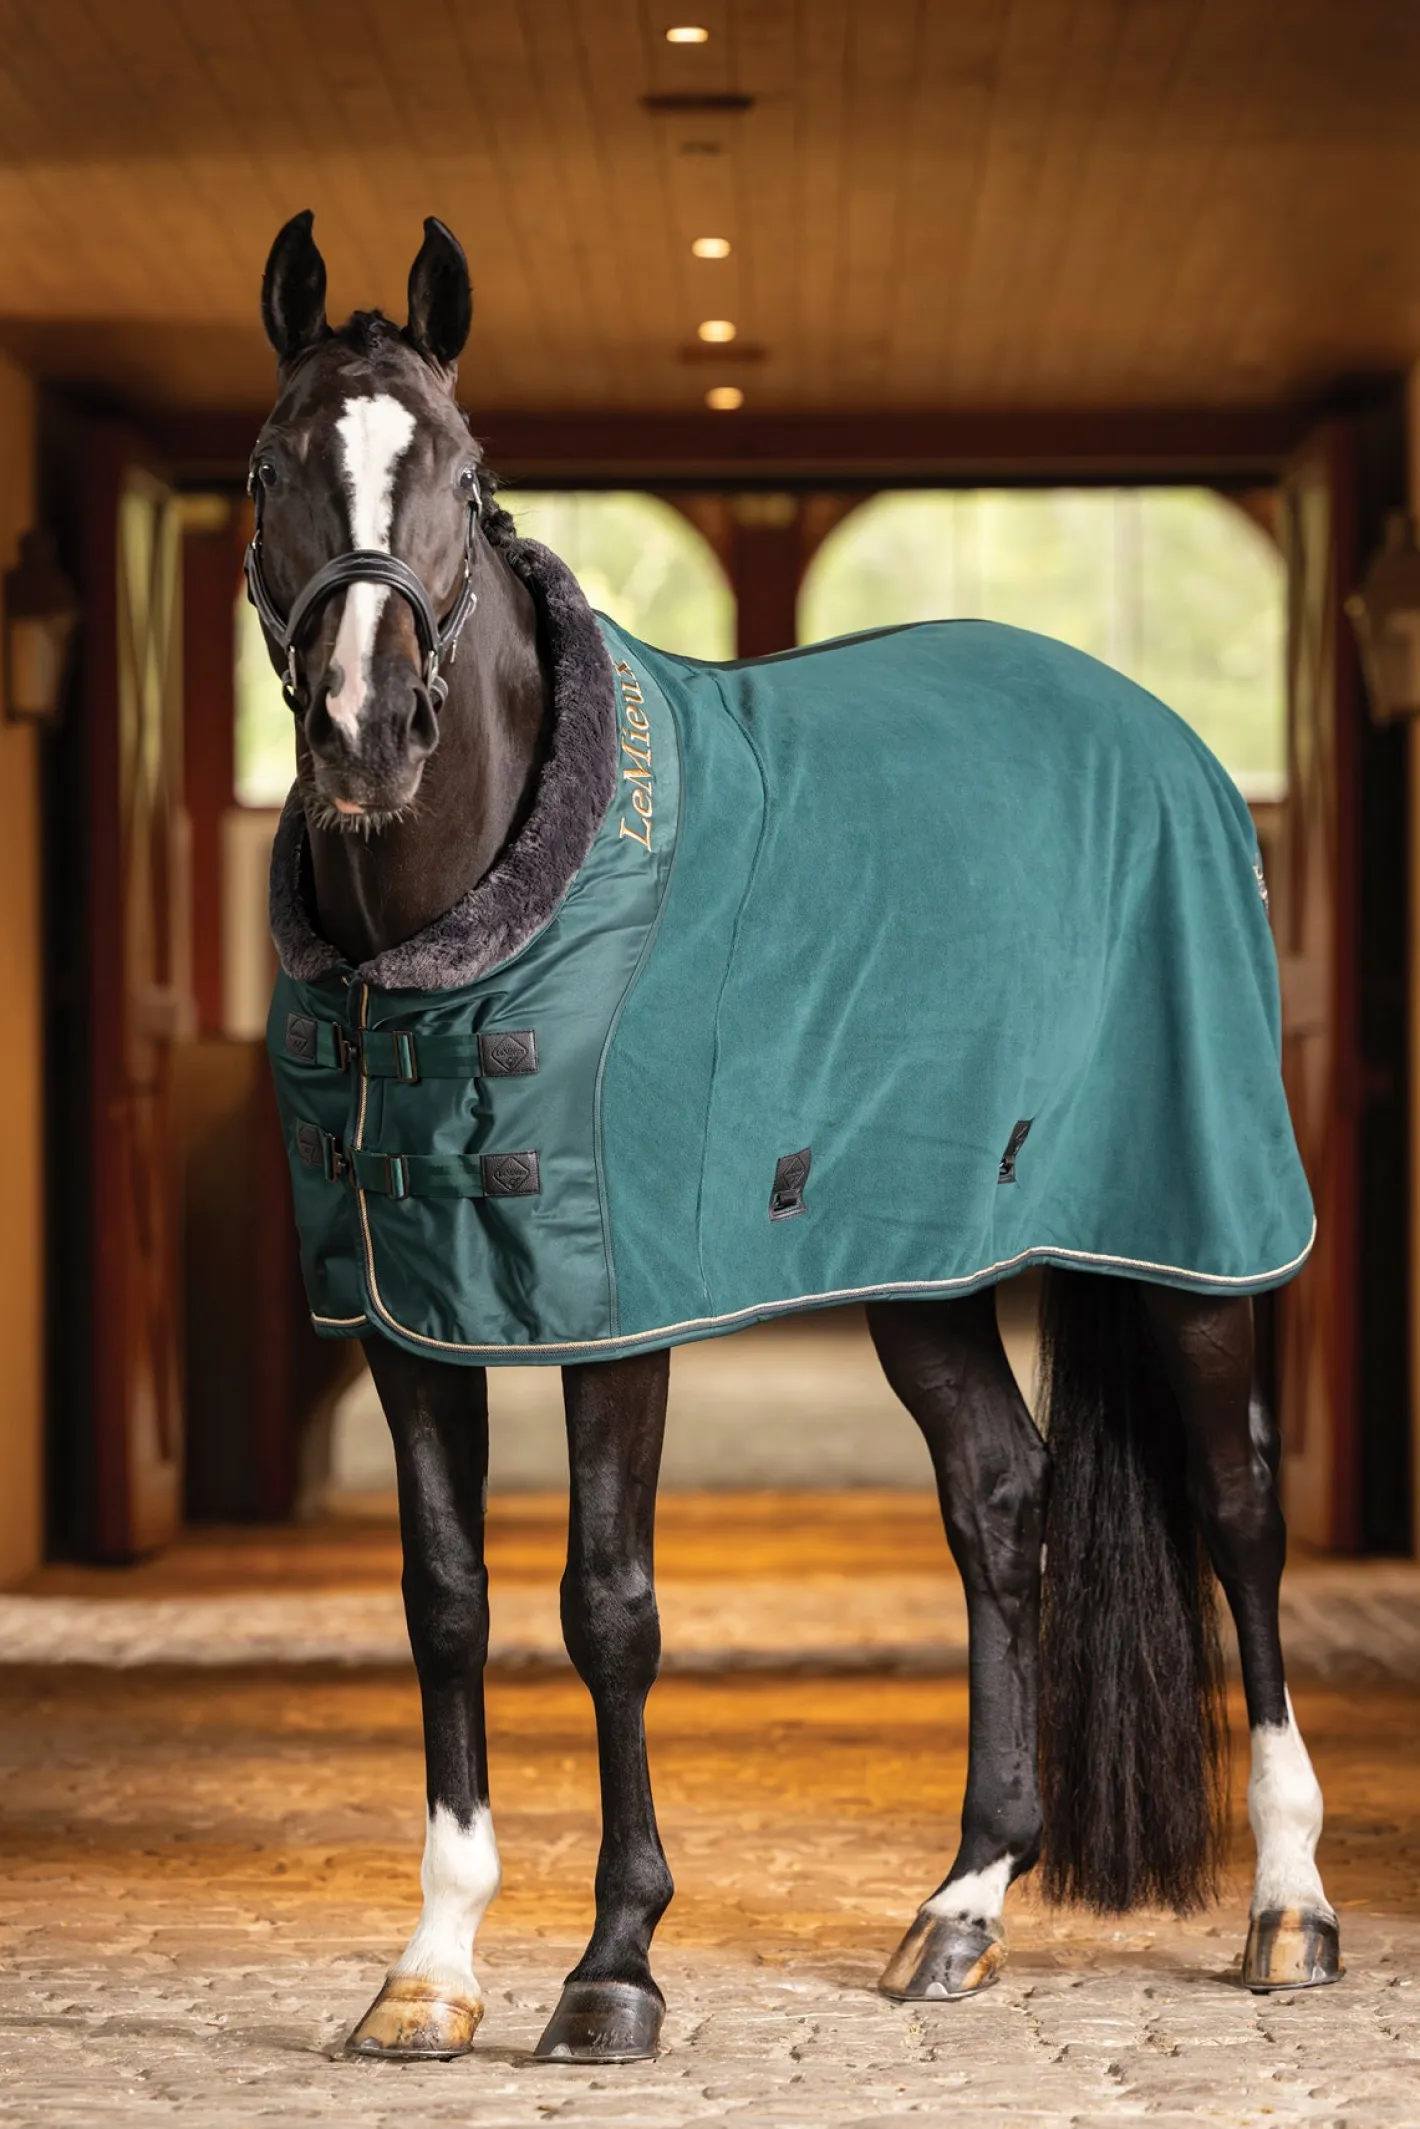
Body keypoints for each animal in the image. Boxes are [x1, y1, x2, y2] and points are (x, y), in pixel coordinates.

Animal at [247, 207, 1340, 2064]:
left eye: (464, 473)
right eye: (271, 469)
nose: (363, 733)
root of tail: (1164, 741)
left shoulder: (615, 1310)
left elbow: (606, 1604)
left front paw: (614, 1964)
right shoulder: (401, 1309)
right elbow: (446, 1597)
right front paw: (432, 1963)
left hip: (1192, 1229)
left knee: (1239, 1509)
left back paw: (1291, 1902)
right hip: (927, 1263)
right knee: (1000, 1498)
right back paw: (966, 1902)